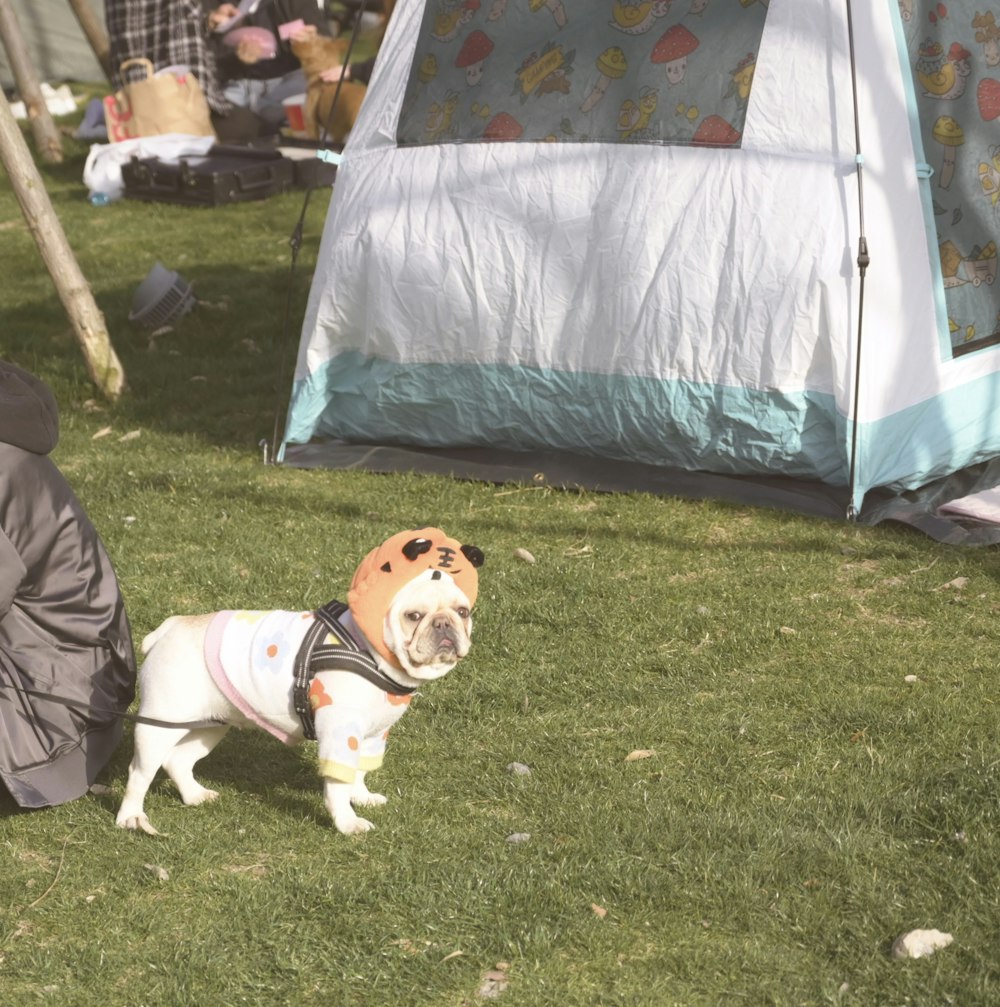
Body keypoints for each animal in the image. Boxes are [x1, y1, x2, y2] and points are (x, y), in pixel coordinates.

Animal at [115, 527, 481, 833]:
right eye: (413, 616)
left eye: (462, 612)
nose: (444, 624)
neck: (368, 650)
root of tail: (170, 627)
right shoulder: (341, 733)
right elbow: (338, 784)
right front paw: (347, 822)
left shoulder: (373, 735)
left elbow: (360, 771)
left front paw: (362, 797)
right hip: (160, 723)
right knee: (140, 772)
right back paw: (132, 817)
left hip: (210, 724)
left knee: (178, 760)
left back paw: (194, 795)